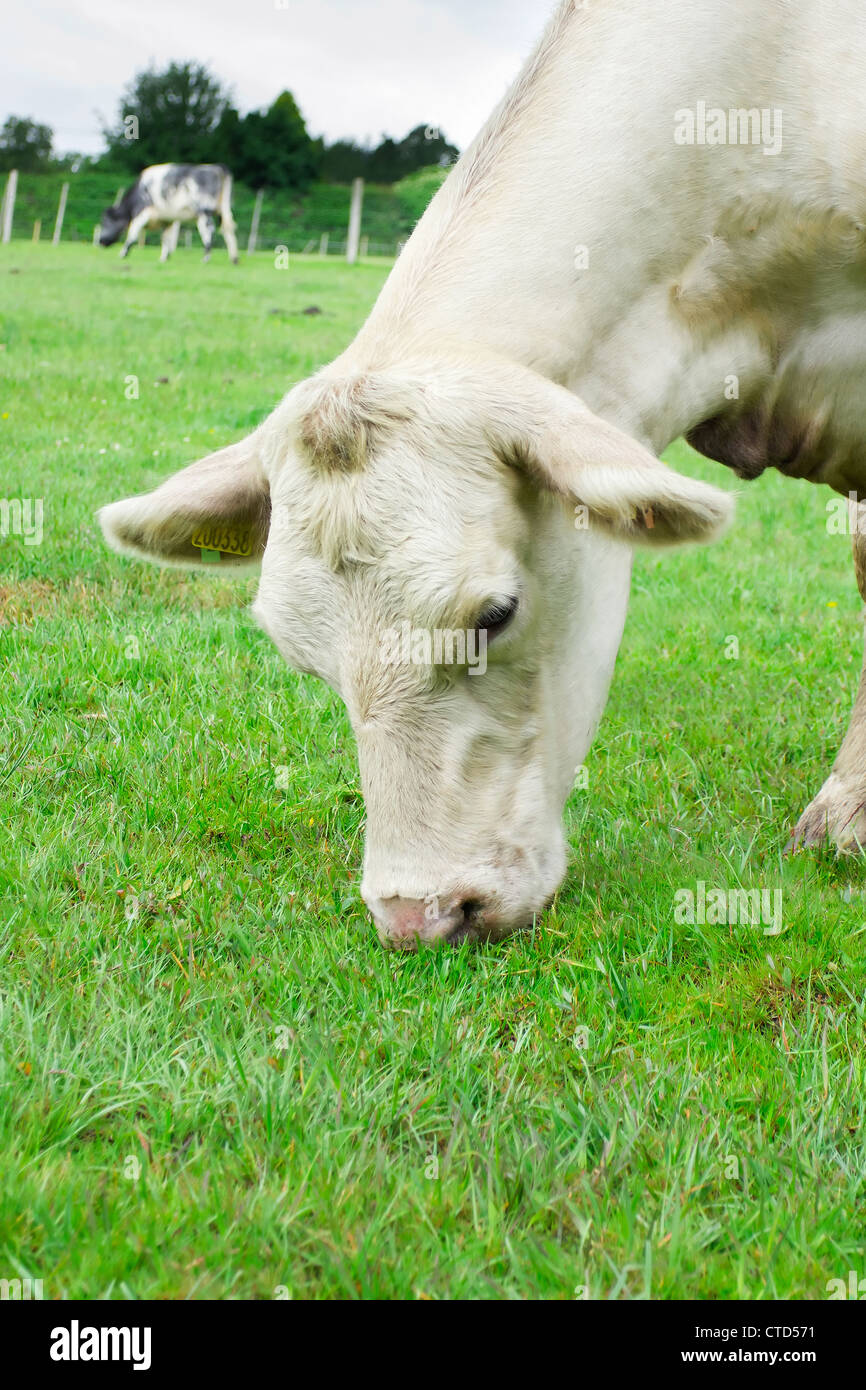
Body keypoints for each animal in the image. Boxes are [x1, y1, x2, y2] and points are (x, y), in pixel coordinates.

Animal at [99, 164, 240, 264]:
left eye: (105, 222)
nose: (100, 241)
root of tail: (217, 167)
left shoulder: (142, 213)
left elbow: (132, 235)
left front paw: (123, 254)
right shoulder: (167, 220)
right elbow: (166, 238)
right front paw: (164, 258)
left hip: (204, 212)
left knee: (208, 232)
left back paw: (206, 258)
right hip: (223, 211)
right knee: (228, 230)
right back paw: (234, 259)